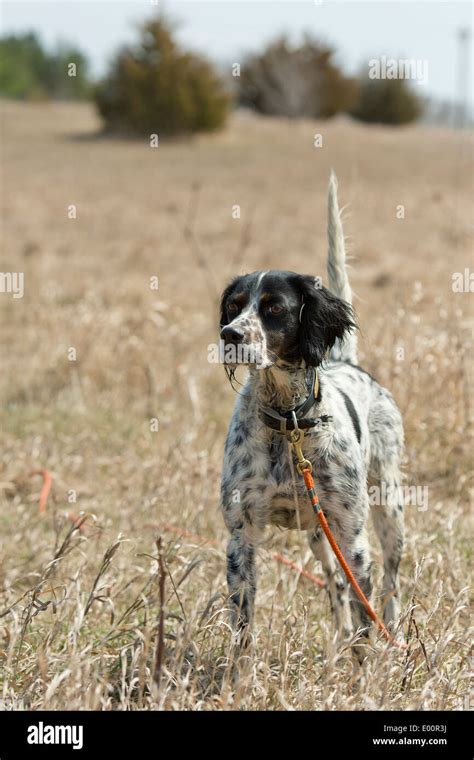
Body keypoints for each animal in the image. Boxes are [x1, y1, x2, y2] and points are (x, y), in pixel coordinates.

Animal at [218, 172, 404, 660]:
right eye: (234, 306)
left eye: (274, 308)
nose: (230, 335)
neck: (288, 424)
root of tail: (348, 361)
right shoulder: (241, 538)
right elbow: (242, 632)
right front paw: (237, 677)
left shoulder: (353, 540)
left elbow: (365, 619)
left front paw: (364, 674)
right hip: (320, 536)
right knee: (334, 587)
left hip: (387, 511)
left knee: (391, 584)